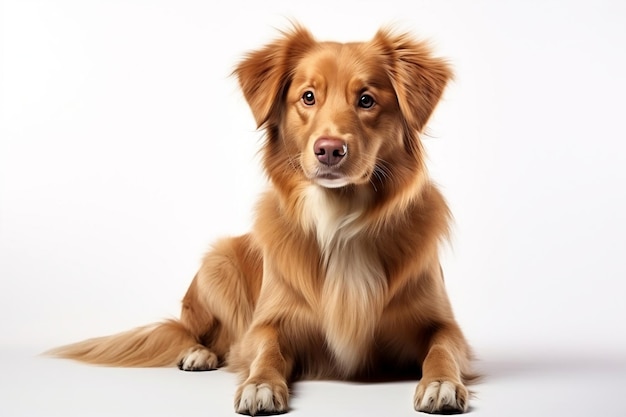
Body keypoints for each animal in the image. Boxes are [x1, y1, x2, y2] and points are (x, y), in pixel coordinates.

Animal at [48, 25, 476, 412]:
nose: (329, 150)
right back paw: (199, 354)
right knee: (194, 332)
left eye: (367, 100)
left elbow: (442, 349)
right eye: (308, 97)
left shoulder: (444, 324)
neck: (340, 218)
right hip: (217, 263)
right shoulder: (268, 323)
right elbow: (264, 351)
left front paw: (440, 383)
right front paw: (260, 385)